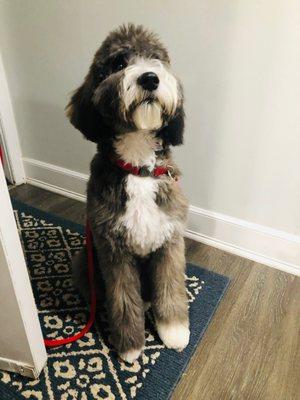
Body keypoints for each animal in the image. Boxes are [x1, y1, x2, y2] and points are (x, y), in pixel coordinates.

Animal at [67, 24, 190, 362]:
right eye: (119, 63)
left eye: (157, 59)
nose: (150, 78)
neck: (138, 166)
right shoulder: (113, 250)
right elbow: (123, 298)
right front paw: (130, 345)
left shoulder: (170, 241)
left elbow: (170, 287)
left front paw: (174, 331)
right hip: (84, 261)